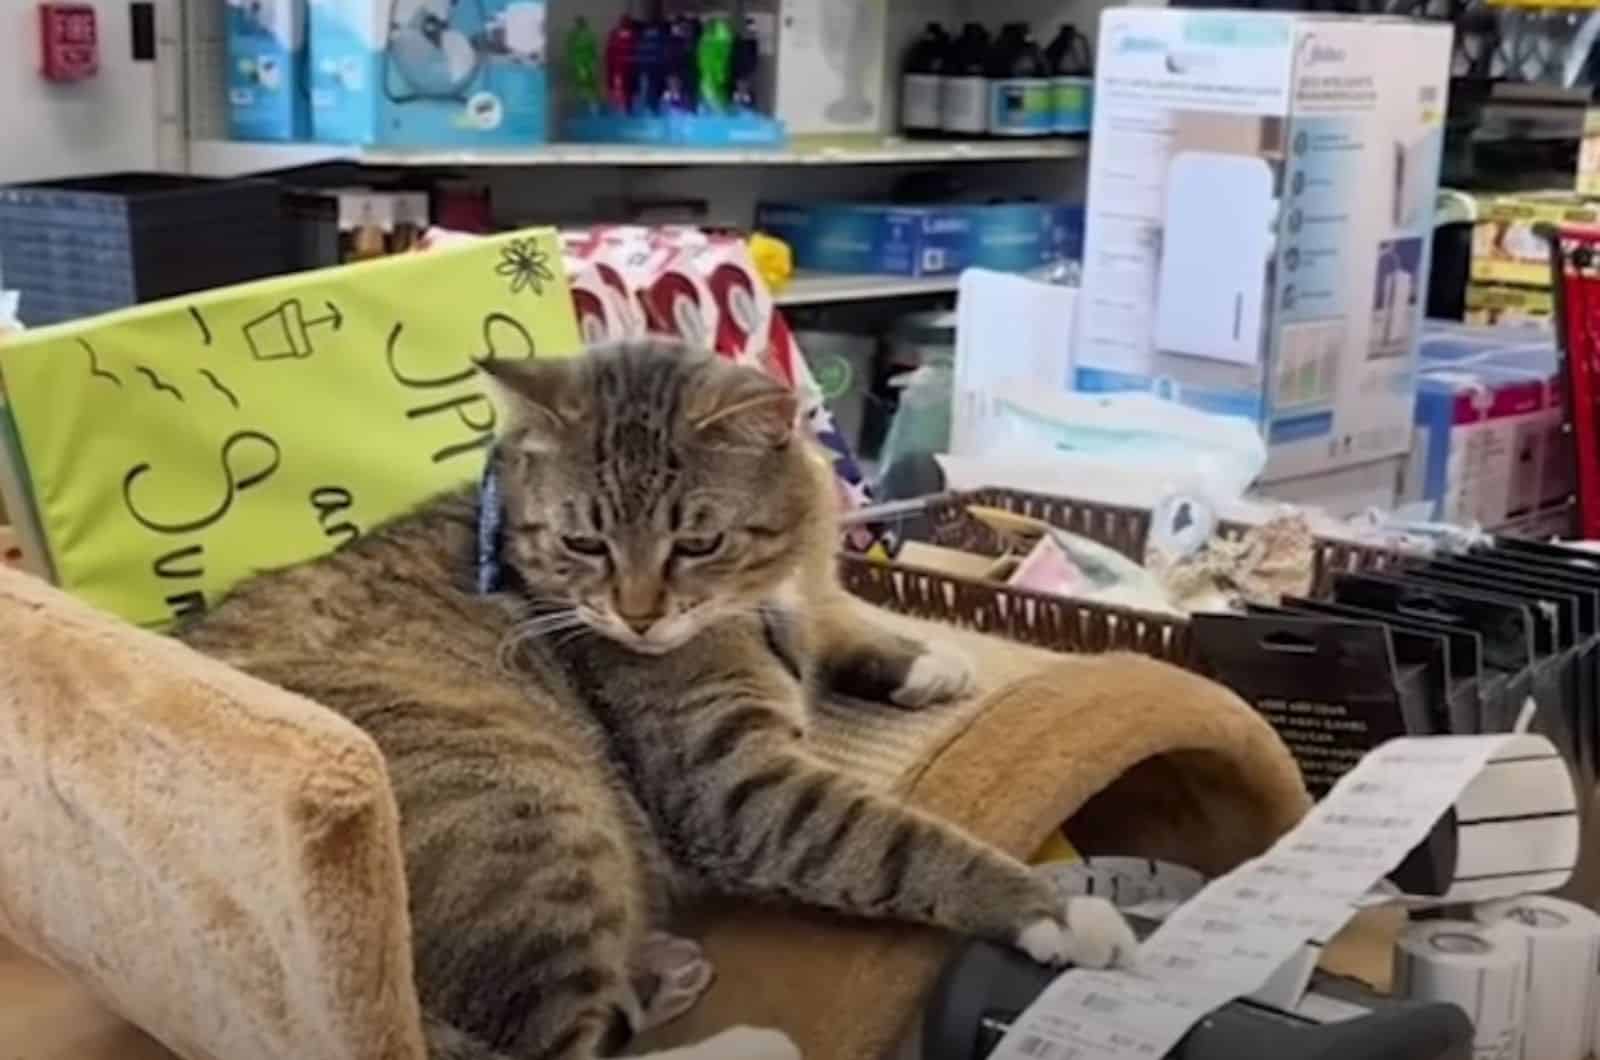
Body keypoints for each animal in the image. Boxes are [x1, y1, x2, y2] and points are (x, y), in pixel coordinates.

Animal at [181, 342, 1132, 1060]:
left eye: (697, 543)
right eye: (584, 543)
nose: (638, 616)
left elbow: (836, 621)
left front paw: (921, 656)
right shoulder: (738, 788)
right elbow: (900, 843)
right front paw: (1053, 910)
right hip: (528, 806)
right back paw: (741, 1041)